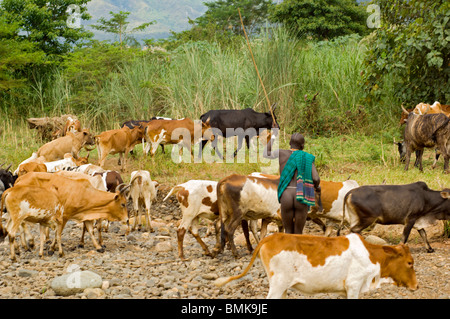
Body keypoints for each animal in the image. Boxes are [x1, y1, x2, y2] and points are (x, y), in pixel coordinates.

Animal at [214, 232, 418, 300]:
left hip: (282, 286)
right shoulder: (354, 286)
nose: (416, 286)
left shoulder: (345, 290)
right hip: (278, 284)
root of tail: (273, 236)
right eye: (410, 263)